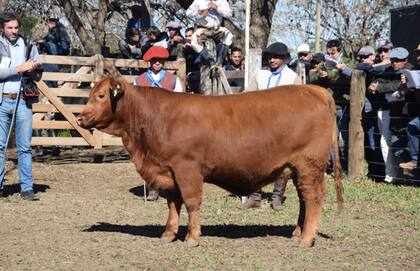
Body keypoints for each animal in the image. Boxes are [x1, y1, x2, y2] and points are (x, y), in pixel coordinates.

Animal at [77, 75, 342, 248]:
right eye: (89, 95)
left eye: (101, 95)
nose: (80, 117)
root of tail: (313, 89)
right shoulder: (168, 171)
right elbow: (173, 204)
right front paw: (169, 234)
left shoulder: (187, 169)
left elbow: (191, 202)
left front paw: (192, 238)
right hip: (297, 168)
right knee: (304, 200)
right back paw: (297, 233)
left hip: (310, 165)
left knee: (313, 198)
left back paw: (306, 239)